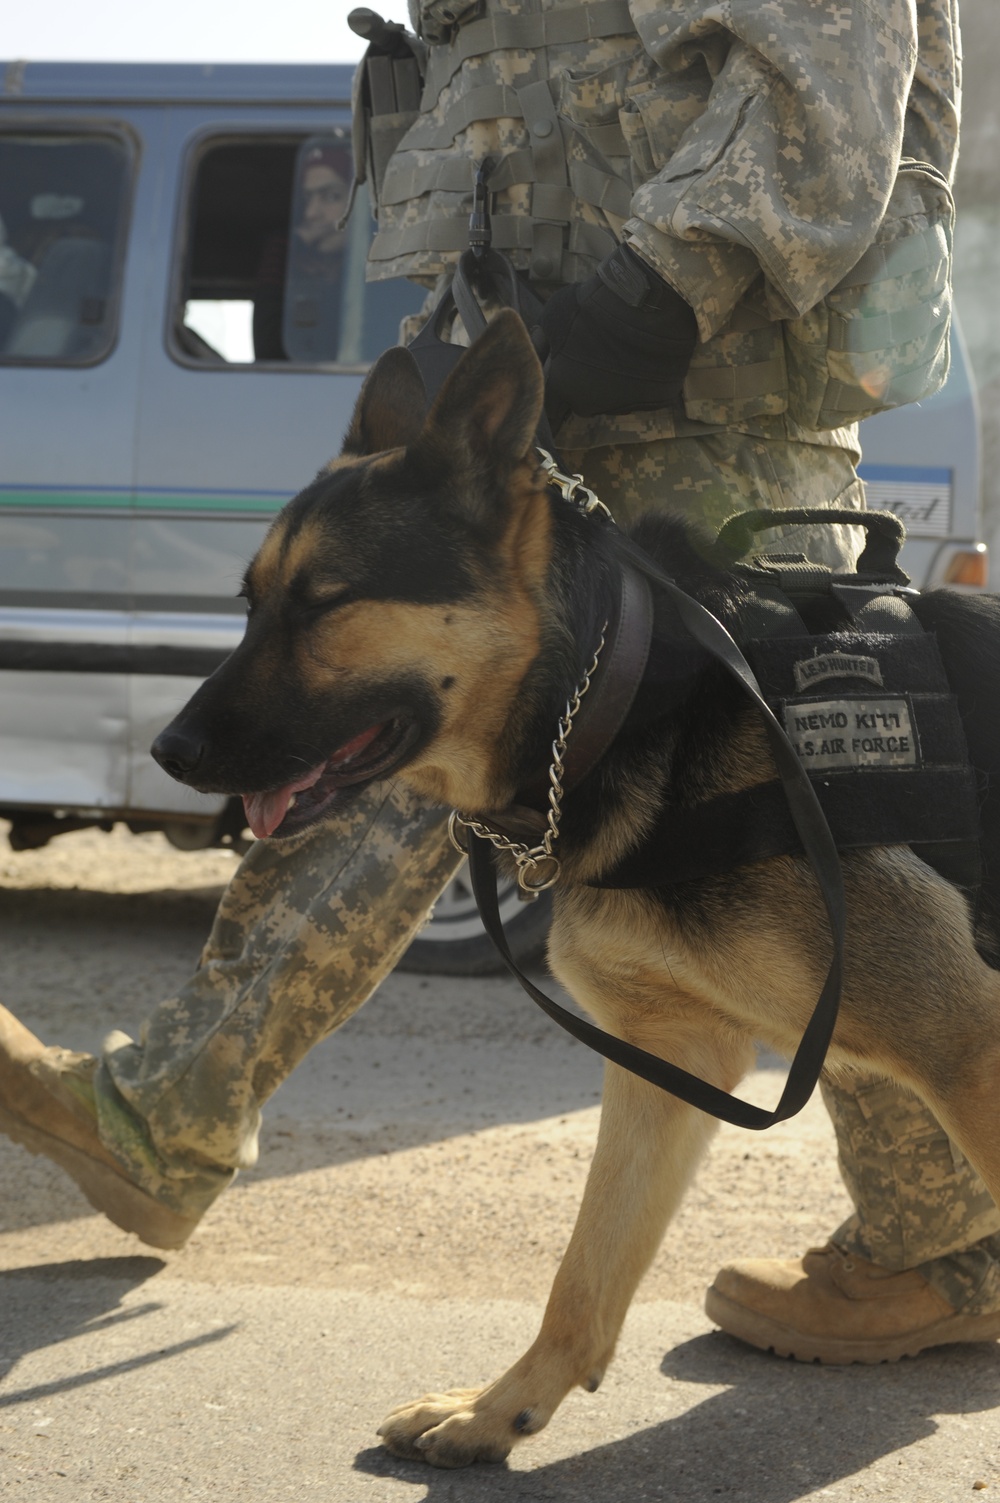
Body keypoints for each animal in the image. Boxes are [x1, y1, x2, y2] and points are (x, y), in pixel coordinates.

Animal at [154, 308, 998, 1466]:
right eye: (249, 605)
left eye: (324, 604)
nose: (168, 749)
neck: (619, 695)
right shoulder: (674, 1054)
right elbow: (586, 1269)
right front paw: (499, 1408)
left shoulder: (964, 1044)